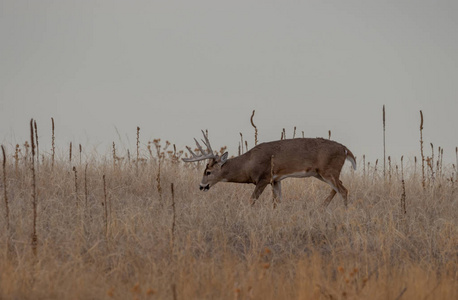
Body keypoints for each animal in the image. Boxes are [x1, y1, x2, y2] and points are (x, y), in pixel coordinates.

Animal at [182, 130, 358, 207]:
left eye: (208, 172)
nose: (201, 186)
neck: (248, 163)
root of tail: (345, 149)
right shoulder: (276, 180)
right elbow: (278, 201)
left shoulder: (264, 177)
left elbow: (252, 199)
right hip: (321, 173)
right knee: (339, 187)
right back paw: (322, 206)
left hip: (328, 170)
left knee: (343, 190)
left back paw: (343, 211)